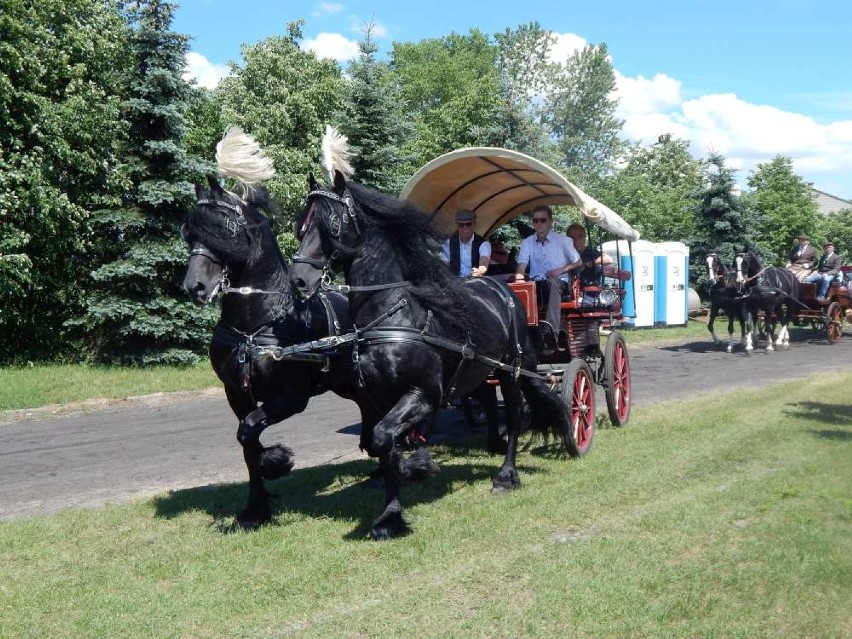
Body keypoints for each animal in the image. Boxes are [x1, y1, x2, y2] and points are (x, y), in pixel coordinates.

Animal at [183, 126, 360, 528]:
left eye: (224, 229)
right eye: (189, 232)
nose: (194, 287)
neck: (258, 323)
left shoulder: (292, 397)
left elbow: (249, 429)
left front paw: (278, 461)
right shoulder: (236, 392)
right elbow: (246, 442)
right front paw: (255, 508)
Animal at [286, 129, 572, 540]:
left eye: (332, 225)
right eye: (300, 224)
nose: (298, 281)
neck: (392, 316)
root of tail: (503, 288)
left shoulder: (422, 393)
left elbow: (386, 440)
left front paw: (419, 467)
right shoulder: (377, 399)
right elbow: (381, 444)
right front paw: (391, 514)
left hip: (512, 369)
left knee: (518, 415)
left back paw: (506, 475)